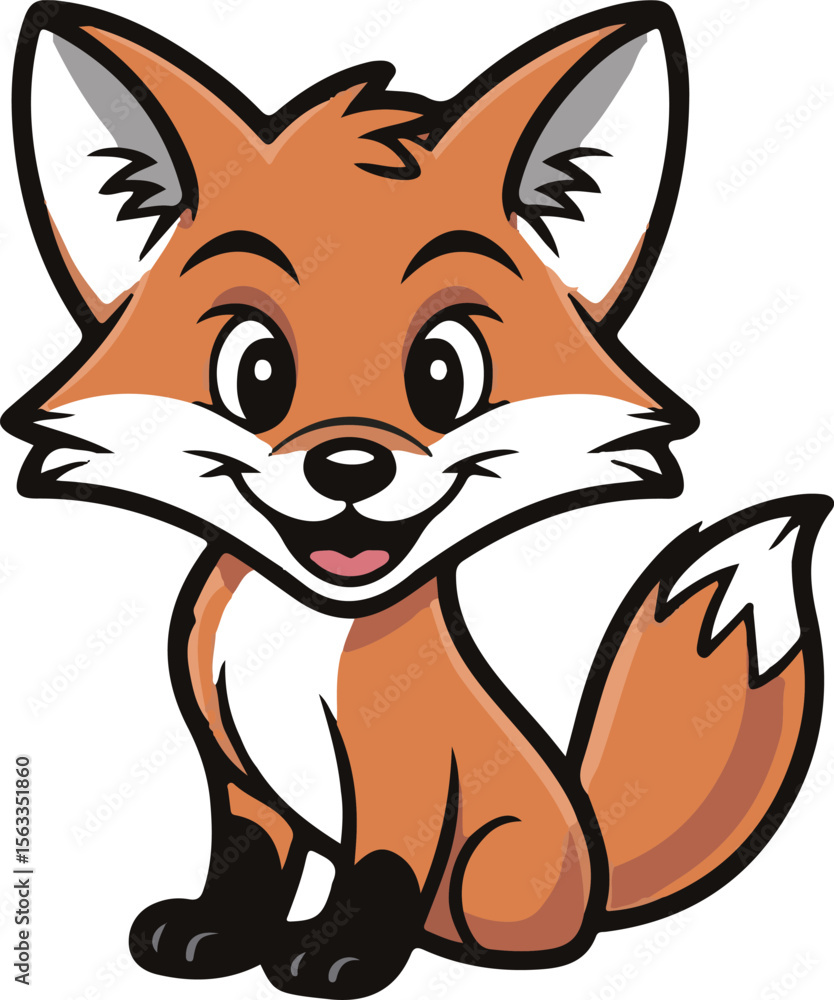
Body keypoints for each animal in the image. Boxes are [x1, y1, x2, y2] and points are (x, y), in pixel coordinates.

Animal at [4, 1, 831, 997]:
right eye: (256, 372)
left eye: (443, 374)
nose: (349, 466)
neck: (296, 631)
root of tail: (594, 864)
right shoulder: (235, 769)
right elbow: (246, 859)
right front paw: (215, 934)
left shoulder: (404, 775)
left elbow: (379, 871)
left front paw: (339, 954)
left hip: (497, 868)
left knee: (508, 932)